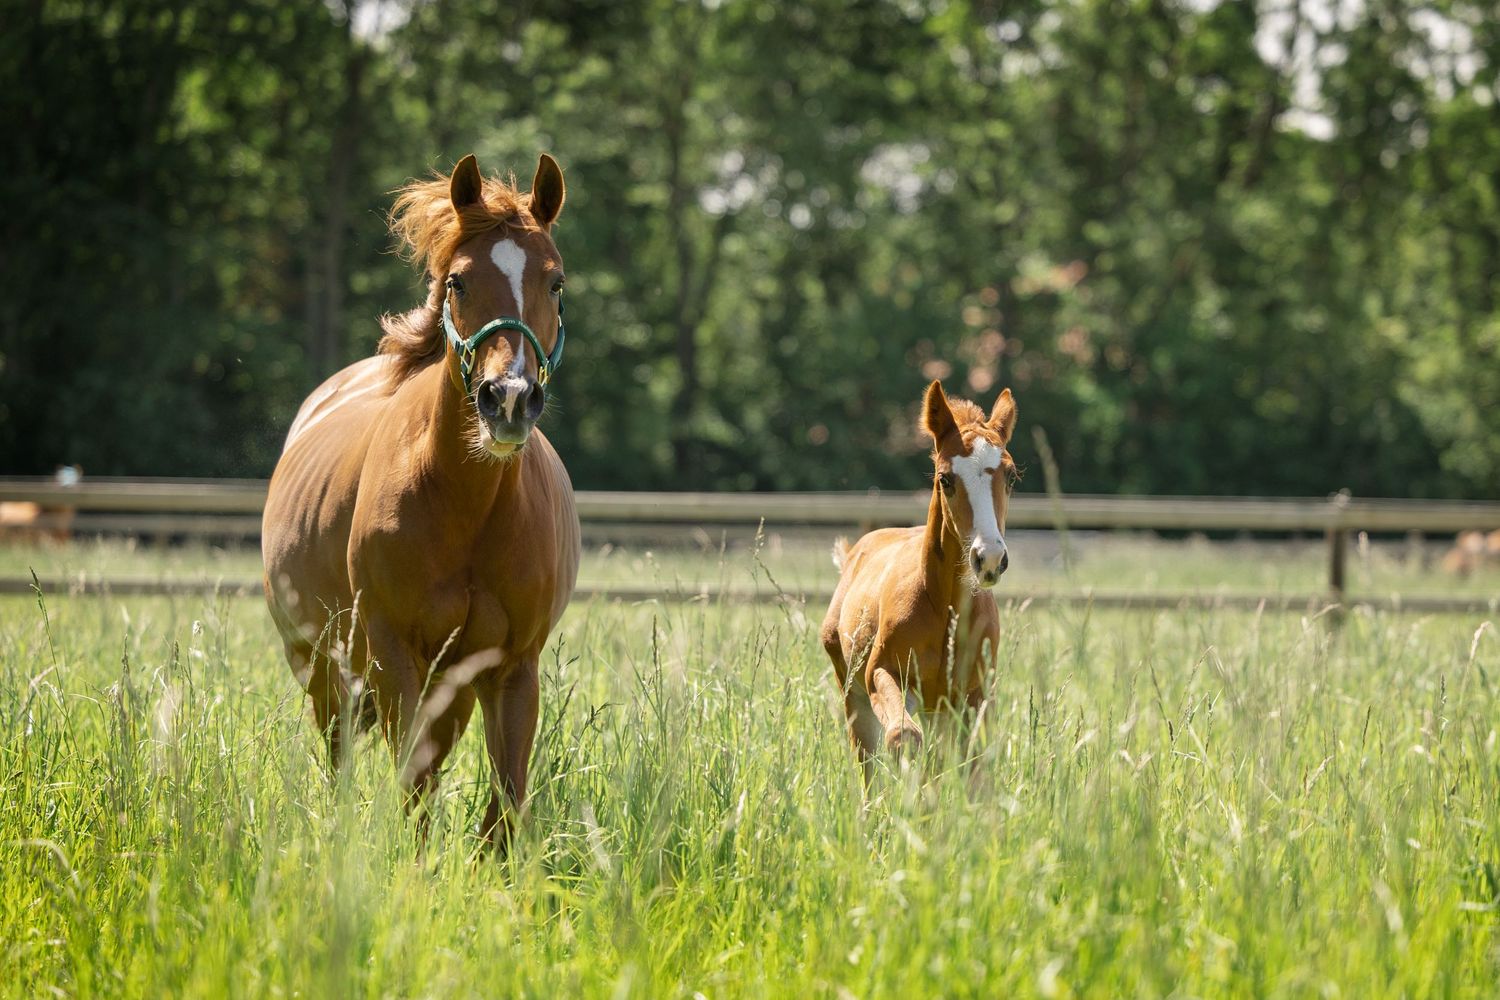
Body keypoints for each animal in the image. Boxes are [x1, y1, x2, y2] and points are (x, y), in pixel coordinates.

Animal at [261, 153, 579, 848]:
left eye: (555, 283)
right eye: (458, 281)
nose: (509, 399)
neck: (468, 508)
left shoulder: (512, 668)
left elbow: (505, 801)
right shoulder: (392, 655)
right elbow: (414, 785)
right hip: (325, 673)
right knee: (341, 764)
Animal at [820, 380, 1017, 781]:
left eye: (1011, 476)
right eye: (945, 478)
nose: (989, 558)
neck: (946, 608)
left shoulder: (975, 693)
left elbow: (976, 761)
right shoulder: (882, 674)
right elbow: (903, 736)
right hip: (852, 692)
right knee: (868, 764)